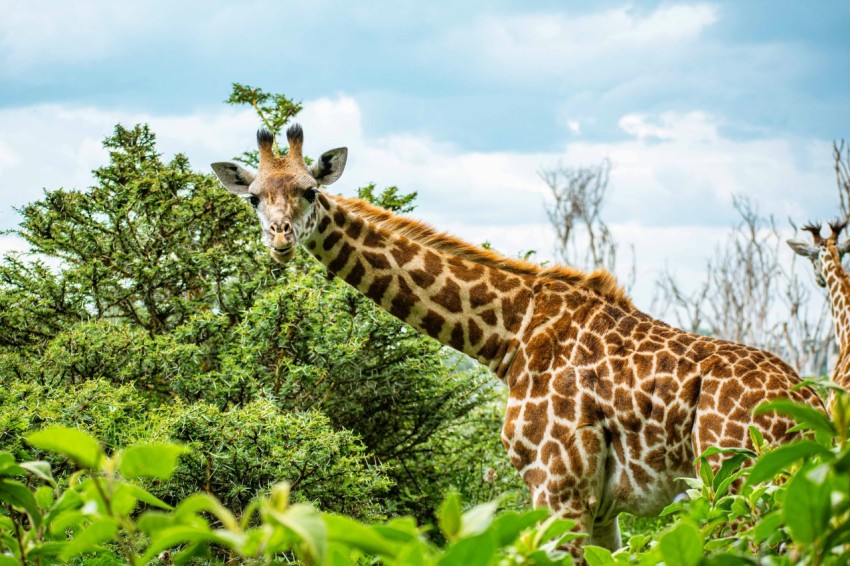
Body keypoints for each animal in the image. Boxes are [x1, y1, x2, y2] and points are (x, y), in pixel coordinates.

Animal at [212, 125, 820, 564]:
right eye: (255, 199)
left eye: (310, 190)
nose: (280, 240)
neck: (507, 334)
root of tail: (814, 409)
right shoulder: (599, 508)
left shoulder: (556, 485)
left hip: (744, 485)